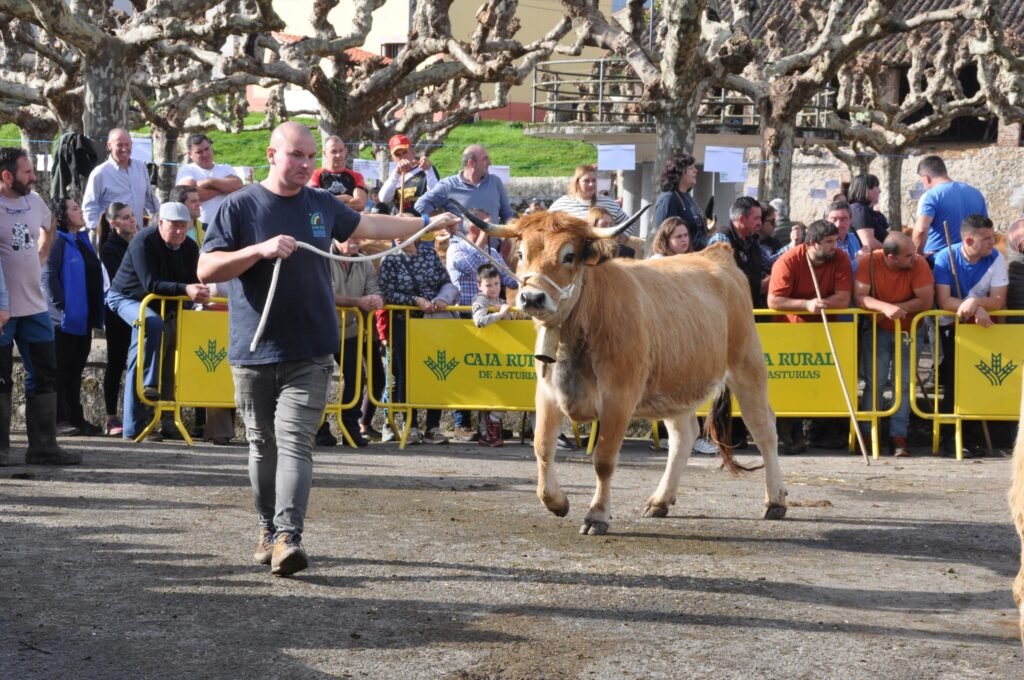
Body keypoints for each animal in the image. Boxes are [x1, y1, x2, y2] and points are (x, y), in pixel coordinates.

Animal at [468, 209, 786, 532]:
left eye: (569, 256)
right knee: (684, 436)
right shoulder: (547, 394)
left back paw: (775, 501)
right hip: (676, 385)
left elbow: (604, 460)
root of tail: (716, 253)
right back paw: (660, 501)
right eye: (521, 253)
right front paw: (556, 502)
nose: (532, 298)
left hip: (747, 367)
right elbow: (542, 447)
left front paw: (597, 514)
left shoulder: (618, 398)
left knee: (764, 428)